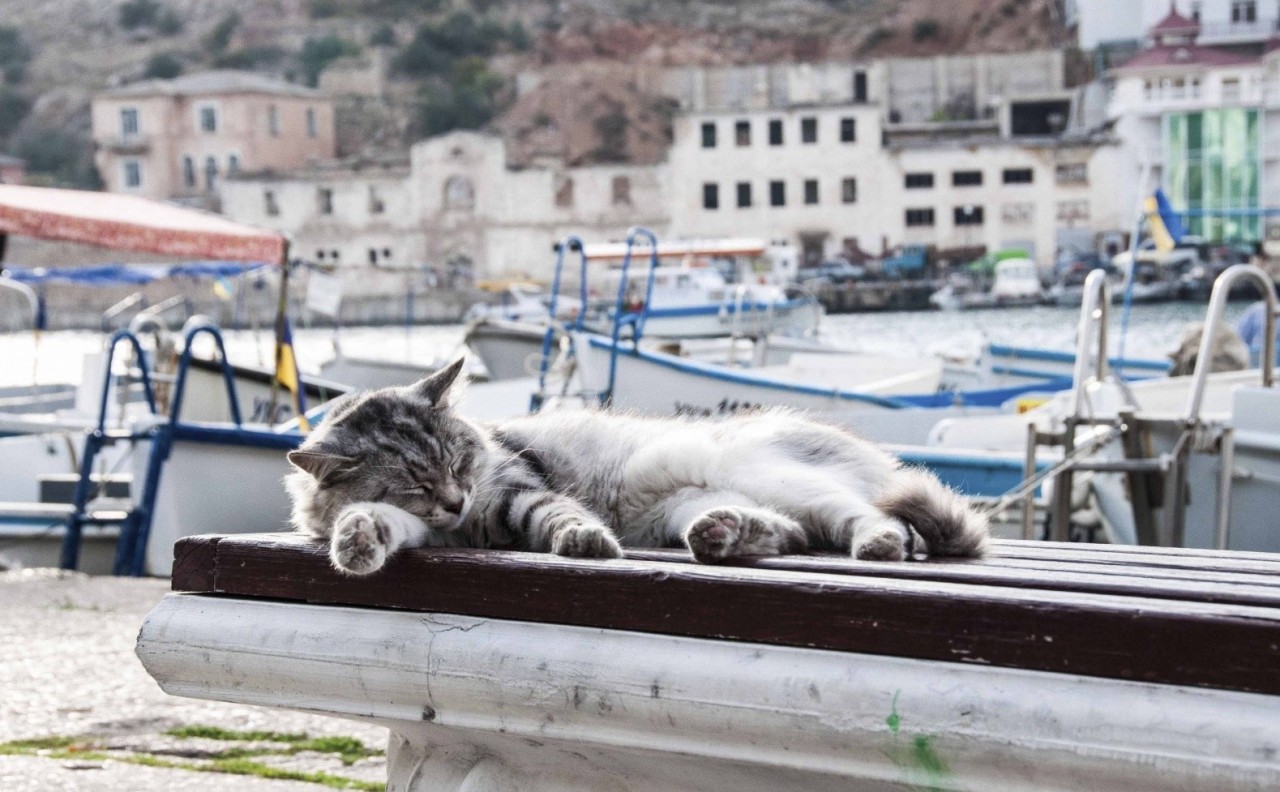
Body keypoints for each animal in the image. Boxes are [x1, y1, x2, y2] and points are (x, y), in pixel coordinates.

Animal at [288, 360, 988, 575]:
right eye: (416, 483)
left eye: (459, 462)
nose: (457, 501)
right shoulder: (427, 527)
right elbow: (371, 521)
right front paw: (356, 541)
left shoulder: (515, 492)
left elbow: (558, 518)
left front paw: (585, 541)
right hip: (691, 508)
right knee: (789, 533)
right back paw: (723, 536)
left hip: (778, 476)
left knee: (876, 521)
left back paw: (875, 545)